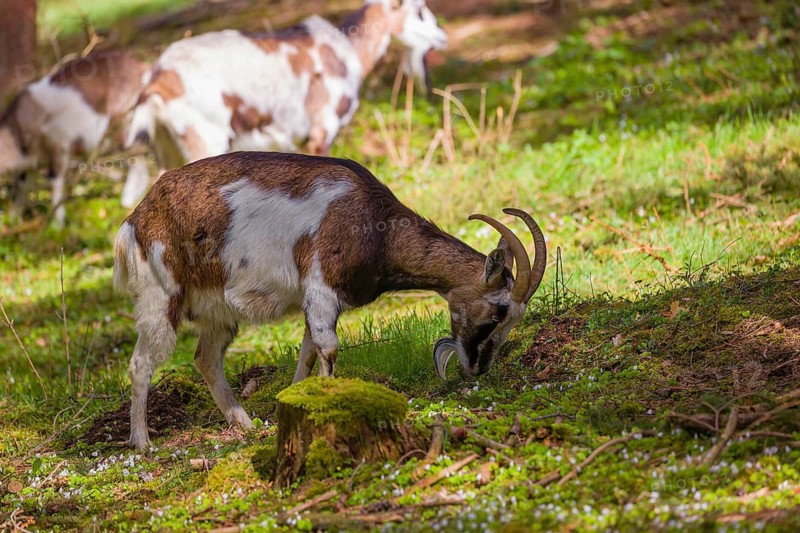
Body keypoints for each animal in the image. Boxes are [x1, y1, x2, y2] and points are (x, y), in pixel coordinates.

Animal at [0, 50, 149, 226]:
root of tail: (142, 67)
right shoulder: (29, 163)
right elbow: (21, 186)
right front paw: (12, 221)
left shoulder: (58, 147)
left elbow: (54, 181)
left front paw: (58, 224)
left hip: (123, 118)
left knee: (135, 153)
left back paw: (127, 201)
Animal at [114, 151, 546, 449]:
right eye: (498, 311)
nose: (477, 367)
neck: (376, 226)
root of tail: (135, 220)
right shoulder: (321, 287)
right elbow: (329, 349)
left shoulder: (314, 301)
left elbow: (307, 353)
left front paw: (292, 405)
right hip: (160, 297)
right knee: (141, 363)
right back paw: (143, 443)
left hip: (217, 309)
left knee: (206, 358)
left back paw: (246, 425)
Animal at [119, 0, 447, 208]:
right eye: (419, 10)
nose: (443, 37)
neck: (347, 49)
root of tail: (158, 79)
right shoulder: (322, 128)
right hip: (204, 136)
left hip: (168, 148)